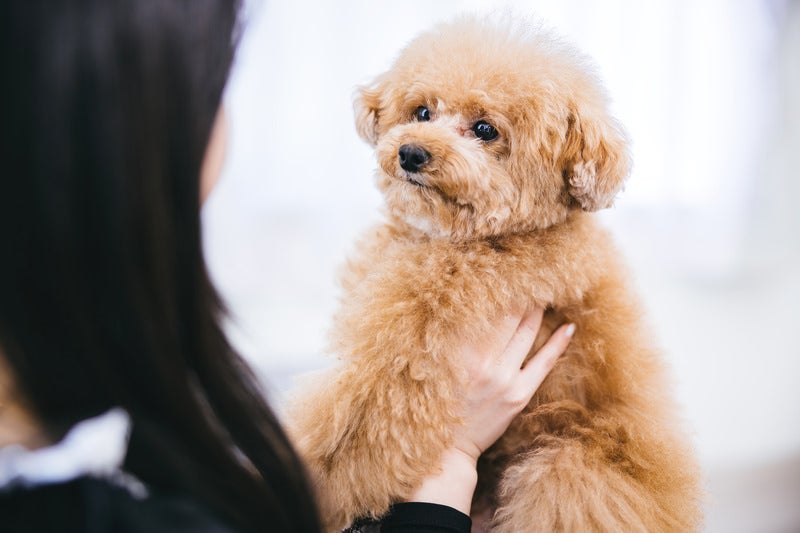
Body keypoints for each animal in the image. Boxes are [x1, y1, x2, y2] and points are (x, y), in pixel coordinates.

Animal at [288, 16, 700, 532]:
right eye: (422, 111)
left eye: (485, 129)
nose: (411, 153)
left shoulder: (414, 343)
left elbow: (358, 415)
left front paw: (317, 477)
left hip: (570, 471)